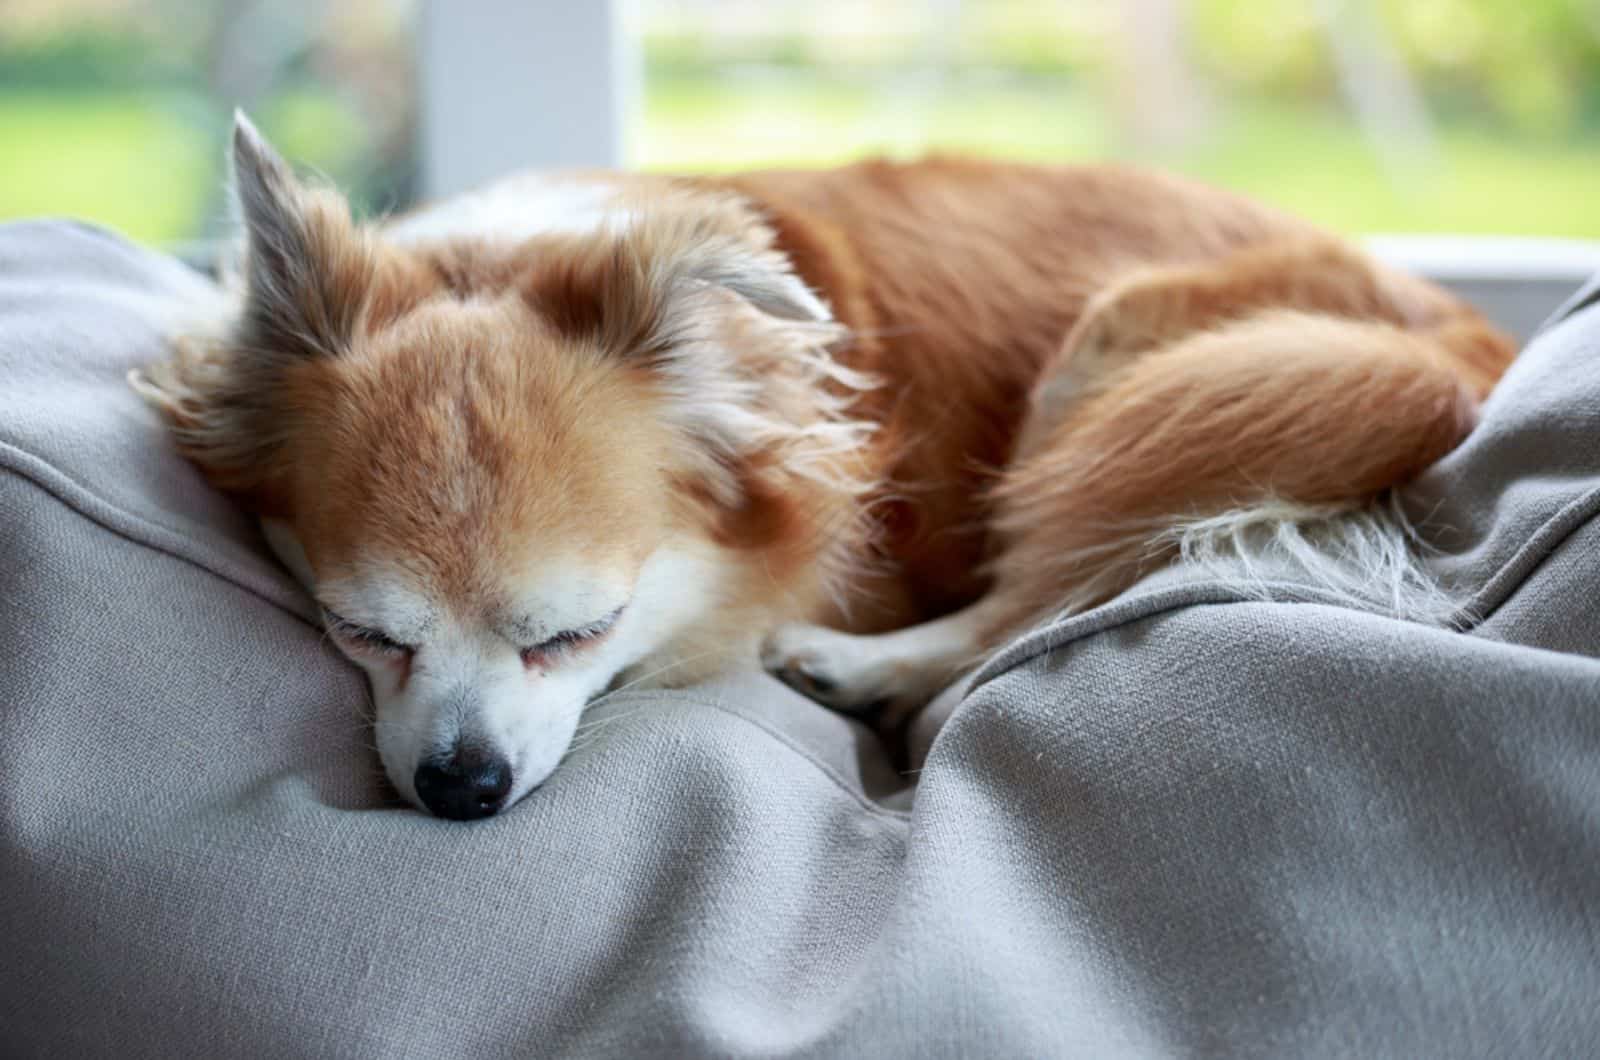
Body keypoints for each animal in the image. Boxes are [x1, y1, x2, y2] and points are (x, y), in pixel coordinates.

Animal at [134, 120, 1510, 826]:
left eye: (579, 633)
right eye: (362, 631)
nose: (460, 785)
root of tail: (1460, 336)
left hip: (1149, 365)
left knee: (1045, 589)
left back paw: (859, 668)